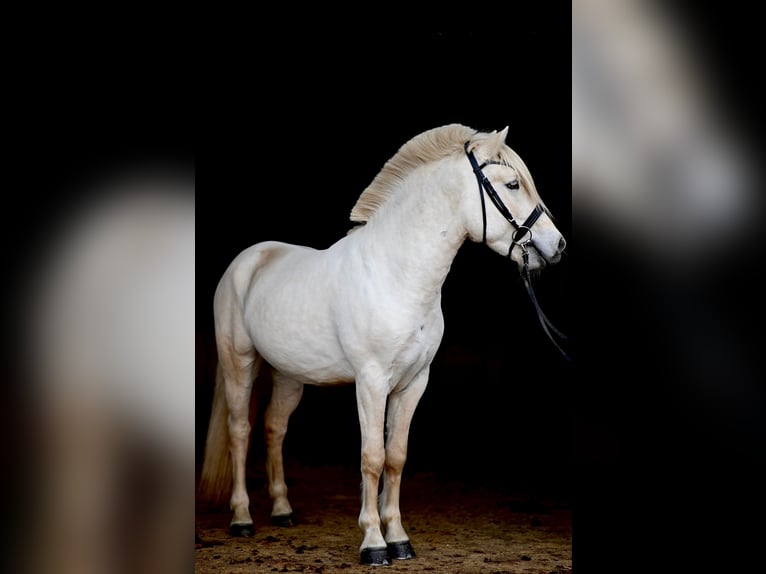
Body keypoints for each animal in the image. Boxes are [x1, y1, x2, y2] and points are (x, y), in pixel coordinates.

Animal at [200, 124, 568, 568]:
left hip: (289, 376)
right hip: (239, 363)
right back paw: (241, 519)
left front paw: (399, 539)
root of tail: (247, 260)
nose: (557, 245)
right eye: (512, 184)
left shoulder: (413, 383)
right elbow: (372, 457)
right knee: (240, 430)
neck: (396, 274)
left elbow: (396, 457)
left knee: (275, 428)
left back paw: (283, 512)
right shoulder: (371, 382)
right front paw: (374, 544)